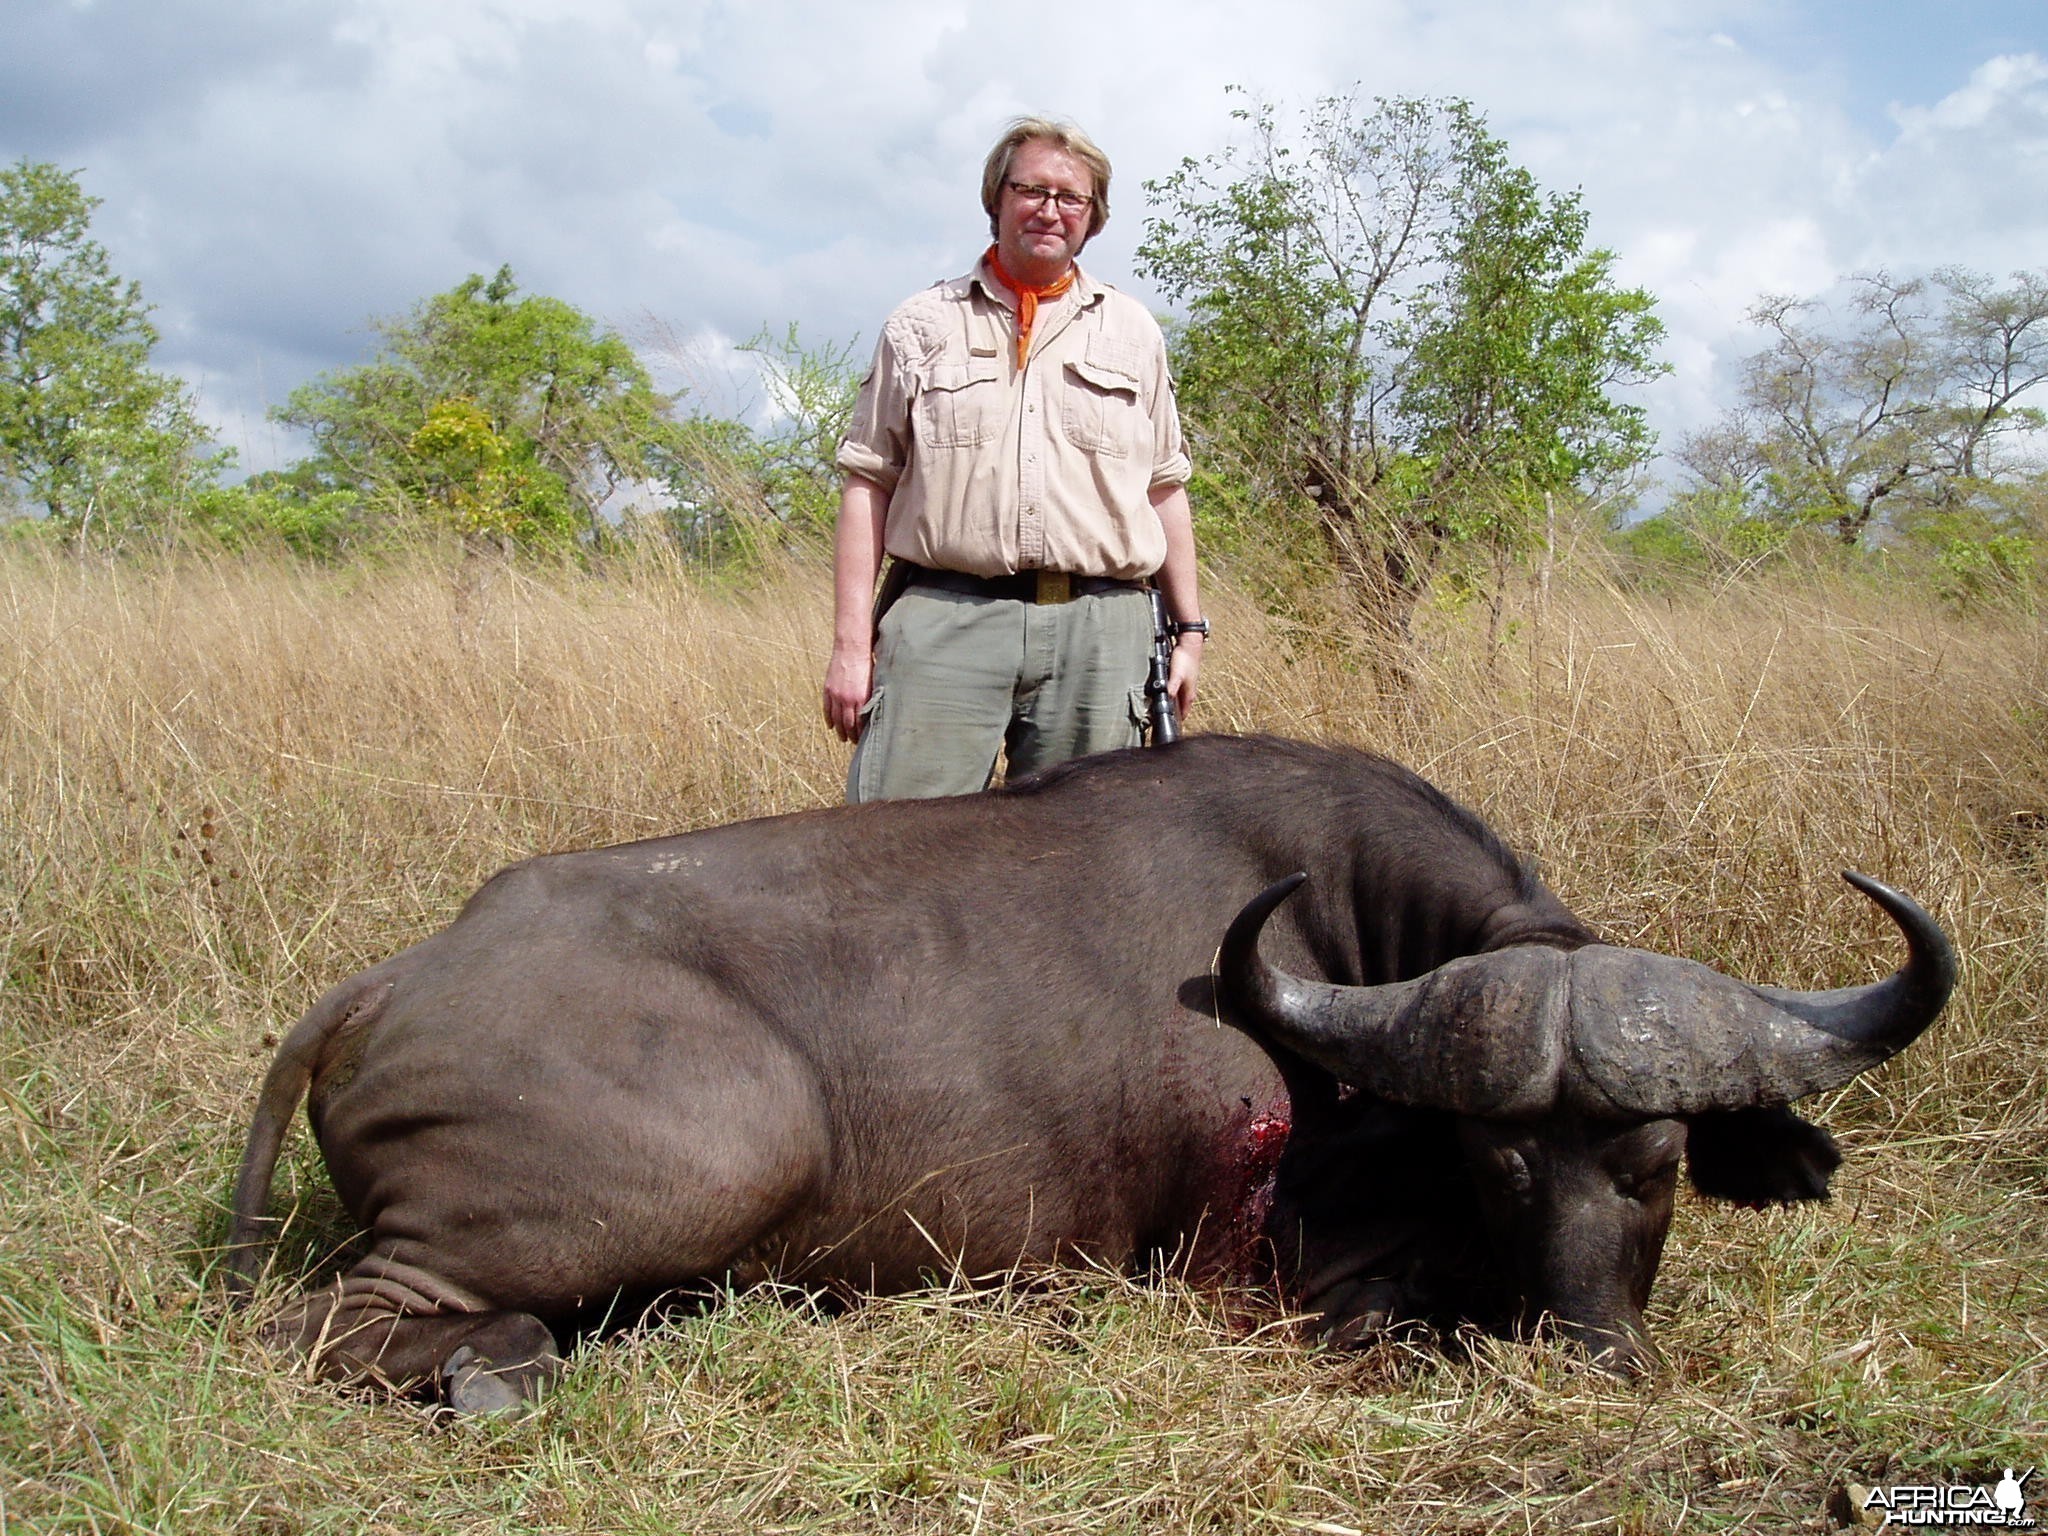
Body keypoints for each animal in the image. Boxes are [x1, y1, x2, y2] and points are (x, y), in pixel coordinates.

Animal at [224, 741, 1949, 1417]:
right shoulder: (1270, 1274)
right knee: (322, 1330)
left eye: (1656, 1165)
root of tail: (406, 974)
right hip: (709, 1160)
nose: (1590, 1356)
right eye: (1494, 1159)